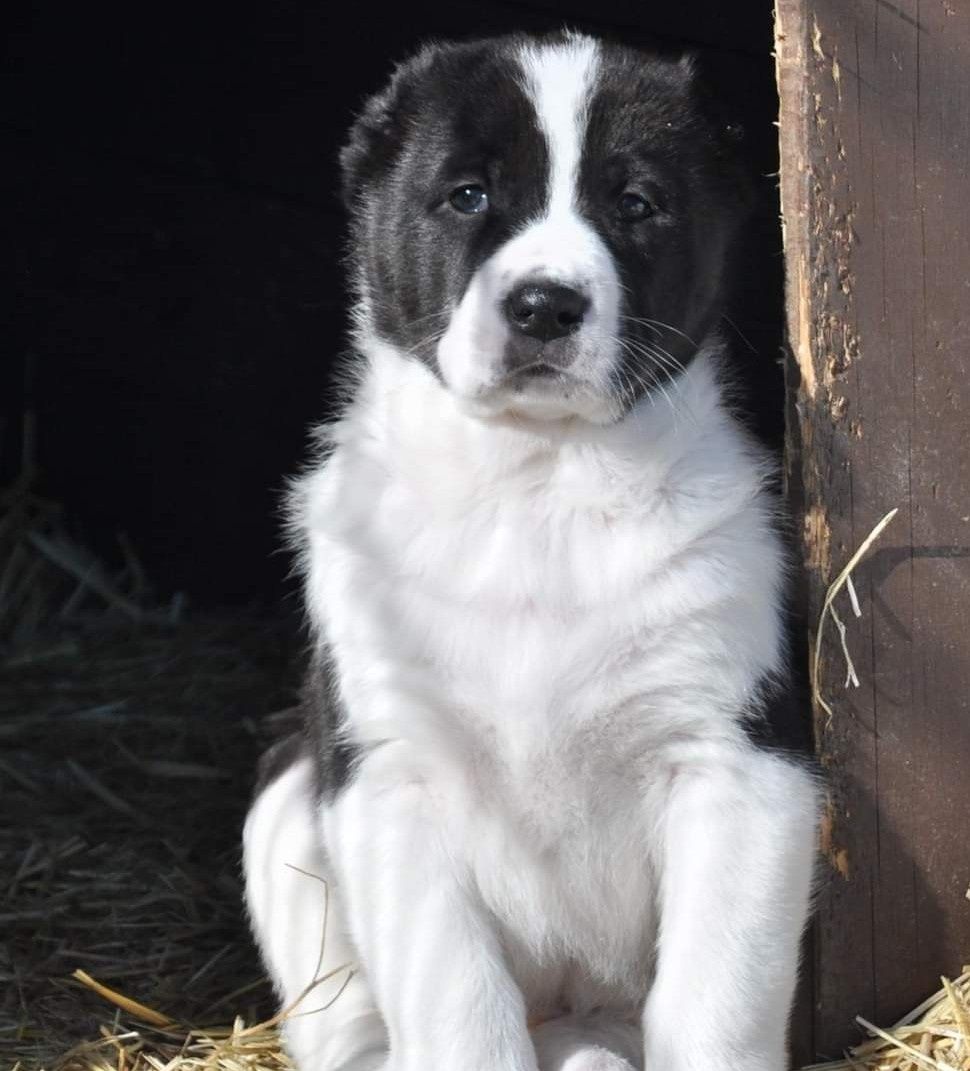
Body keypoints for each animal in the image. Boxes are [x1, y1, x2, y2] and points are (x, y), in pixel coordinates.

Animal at [241, 31, 817, 1071]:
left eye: (636, 205)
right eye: (469, 195)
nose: (546, 305)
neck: (537, 487)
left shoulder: (741, 767)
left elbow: (714, 999)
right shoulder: (390, 776)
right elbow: (460, 1002)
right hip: (286, 789)